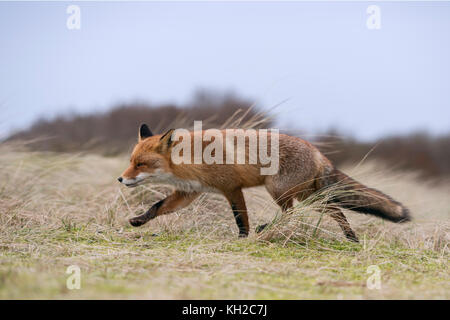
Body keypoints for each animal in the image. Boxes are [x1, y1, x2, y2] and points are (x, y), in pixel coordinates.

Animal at [118, 124, 410, 241]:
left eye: (141, 164)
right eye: (131, 161)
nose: (121, 178)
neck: (191, 159)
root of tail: (317, 152)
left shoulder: (232, 188)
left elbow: (240, 218)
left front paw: (242, 238)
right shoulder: (188, 193)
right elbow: (157, 207)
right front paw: (138, 221)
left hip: (279, 190)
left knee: (293, 214)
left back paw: (267, 228)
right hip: (307, 196)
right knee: (332, 210)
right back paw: (352, 238)